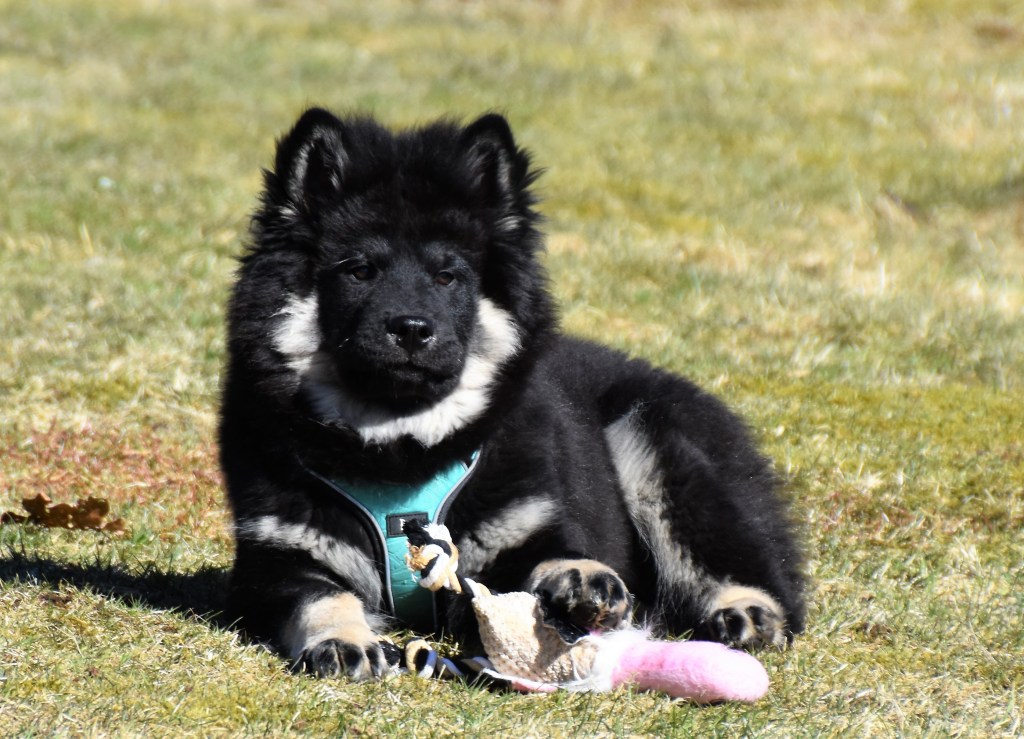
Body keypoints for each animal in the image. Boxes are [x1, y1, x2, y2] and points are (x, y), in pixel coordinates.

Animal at [220, 108, 805, 680]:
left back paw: (745, 610)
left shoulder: (526, 526)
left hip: (654, 444)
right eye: (360, 271)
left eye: (448, 277)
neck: (402, 452)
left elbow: (552, 555)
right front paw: (341, 640)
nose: (411, 327)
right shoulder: (276, 560)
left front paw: (582, 577)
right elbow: (319, 598)